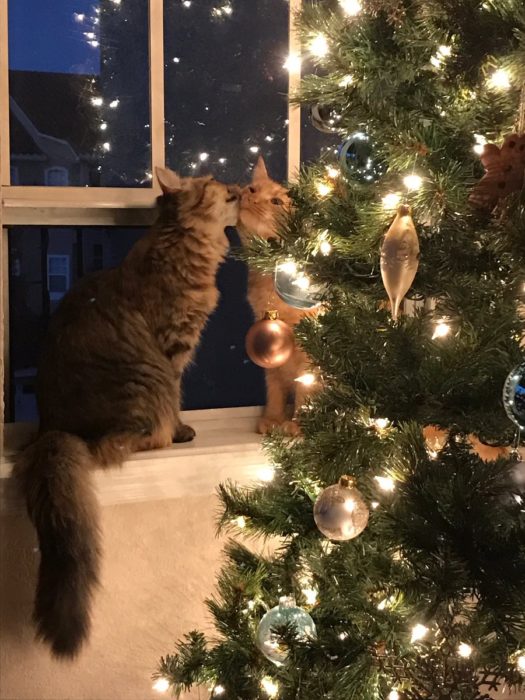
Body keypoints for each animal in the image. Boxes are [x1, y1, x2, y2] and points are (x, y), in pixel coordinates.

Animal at [13, 167, 239, 660]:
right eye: (210, 181)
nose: (234, 184)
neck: (183, 243)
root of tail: (53, 429)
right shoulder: (173, 348)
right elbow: (178, 395)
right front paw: (183, 430)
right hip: (145, 383)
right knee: (132, 439)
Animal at [237, 156, 316, 434]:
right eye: (252, 189)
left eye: (277, 202)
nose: (251, 198)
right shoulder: (268, 342)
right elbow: (275, 388)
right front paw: (273, 418)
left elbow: (306, 387)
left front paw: (300, 424)